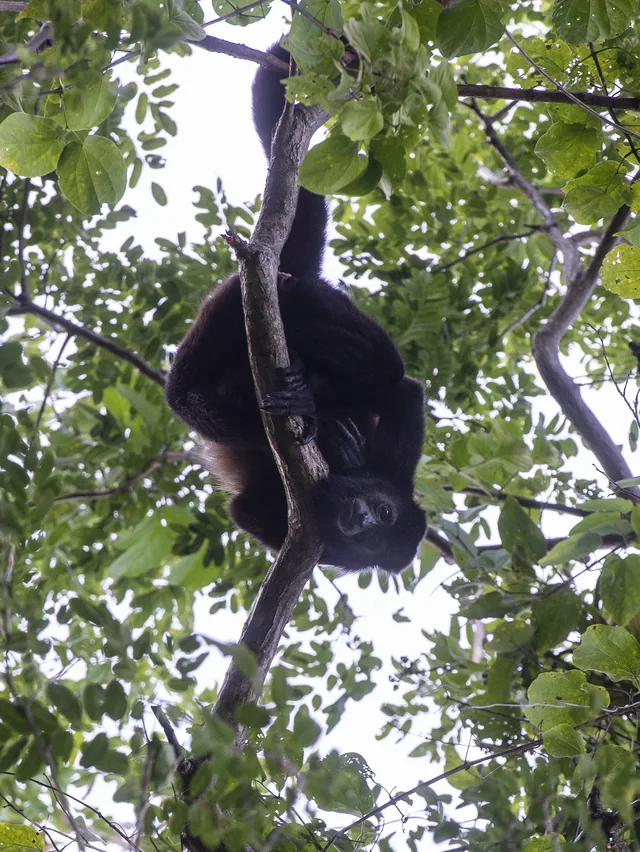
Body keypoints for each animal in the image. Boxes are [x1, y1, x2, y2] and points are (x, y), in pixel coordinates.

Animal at [165, 43, 427, 573]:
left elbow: (249, 511)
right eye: (382, 513)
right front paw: (339, 440)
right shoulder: (400, 453)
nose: (362, 520)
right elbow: (403, 387)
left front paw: (344, 449)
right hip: (242, 301)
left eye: (377, 537)